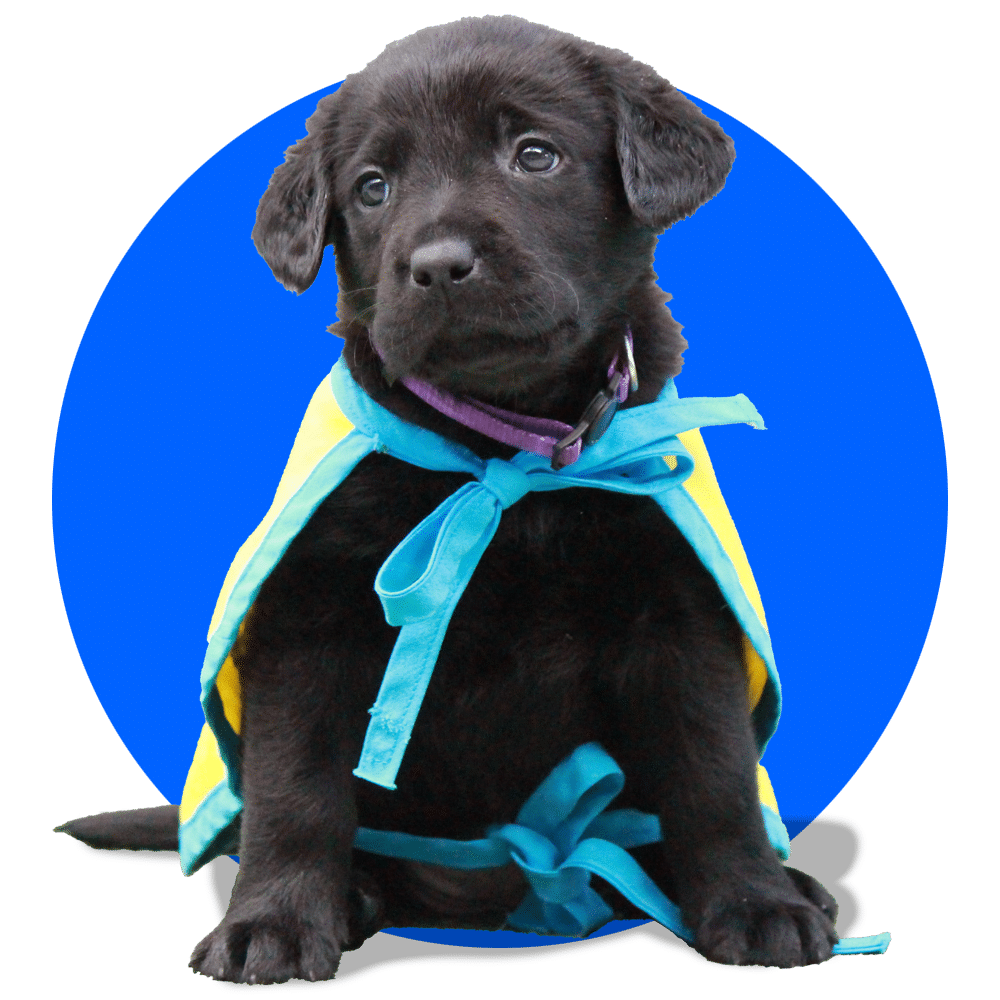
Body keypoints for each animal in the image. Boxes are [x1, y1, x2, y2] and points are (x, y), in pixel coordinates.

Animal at [60, 15, 844, 984]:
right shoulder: (306, 621)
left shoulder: (680, 615)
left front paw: (755, 902)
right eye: (372, 188)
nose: (436, 266)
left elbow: (714, 773)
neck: (510, 454)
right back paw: (355, 897)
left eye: (535, 155)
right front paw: (273, 922)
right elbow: (297, 791)